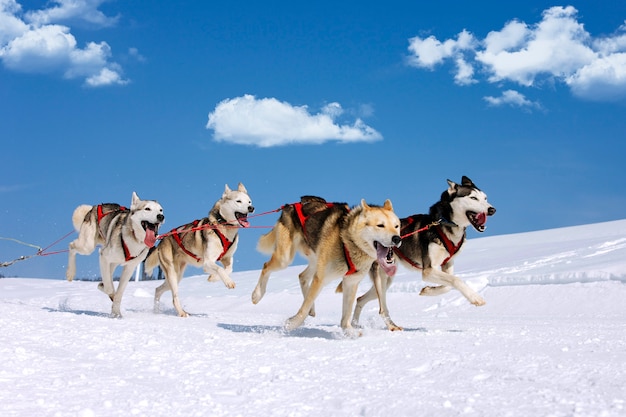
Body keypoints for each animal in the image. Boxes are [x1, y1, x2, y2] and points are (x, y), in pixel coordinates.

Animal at [144, 182, 254, 316]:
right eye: (238, 201)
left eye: (249, 201)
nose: (251, 208)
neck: (222, 225)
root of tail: (162, 240)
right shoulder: (208, 262)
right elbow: (220, 269)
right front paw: (228, 282)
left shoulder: (227, 258)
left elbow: (228, 269)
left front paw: (213, 278)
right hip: (172, 274)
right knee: (174, 297)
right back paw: (181, 313)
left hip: (177, 275)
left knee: (158, 289)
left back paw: (156, 311)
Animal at [252, 196, 402, 334]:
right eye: (380, 225)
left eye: (396, 226)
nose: (397, 238)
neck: (348, 241)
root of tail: (289, 206)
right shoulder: (321, 278)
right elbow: (303, 310)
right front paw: (291, 324)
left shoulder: (351, 282)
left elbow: (346, 315)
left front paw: (349, 332)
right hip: (285, 259)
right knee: (266, 266)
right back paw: (257, 295)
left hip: (315, 260)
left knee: (302, 277)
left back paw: (311, 308)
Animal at [348, 176, 494, 332]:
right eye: (473, 198)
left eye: (485, 198)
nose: (492, 209)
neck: (443, 225)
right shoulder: (428, 270)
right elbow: (456, 280)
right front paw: (475, 298)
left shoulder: (447, 264)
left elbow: (449, 285)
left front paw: (428, 290)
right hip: (381, 280)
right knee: (382, 308)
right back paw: (391, 326)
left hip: (386, 281)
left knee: (360, 299)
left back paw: (355, 325)